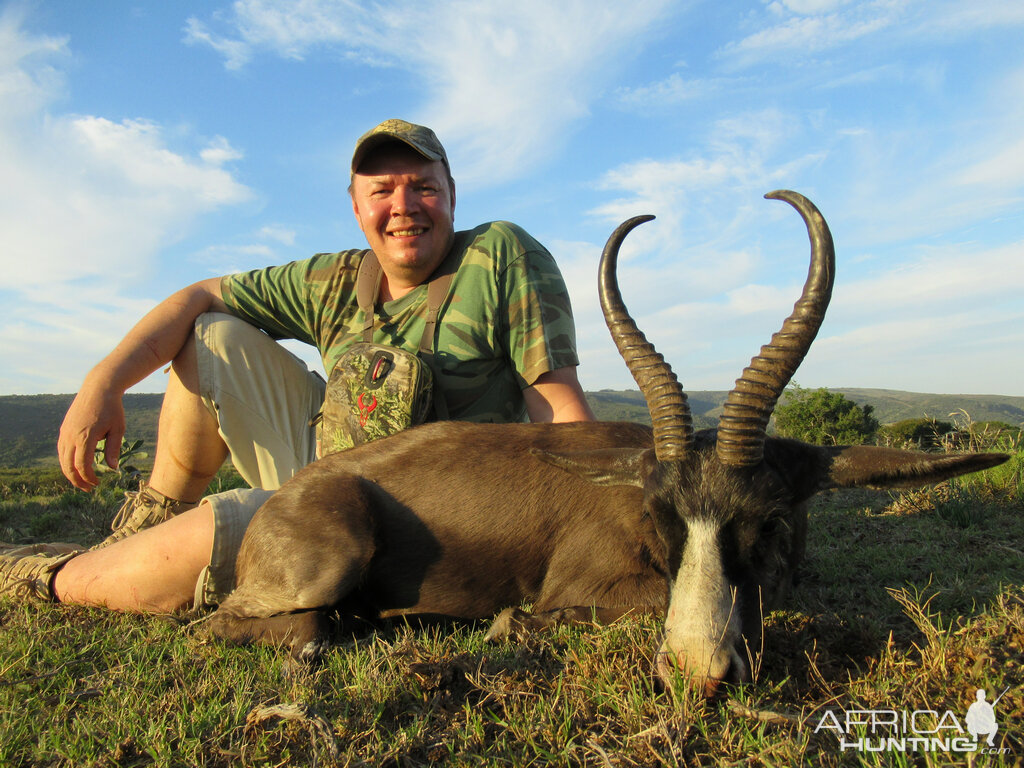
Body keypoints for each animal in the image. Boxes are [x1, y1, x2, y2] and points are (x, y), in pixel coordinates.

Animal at [209, 191, 1007, 696]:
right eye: (658, 516)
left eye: (772, 520)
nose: (695, 673)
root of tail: (285, 498)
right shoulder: (584, 588)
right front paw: (508, 624)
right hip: (328, 563)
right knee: (246, 624)